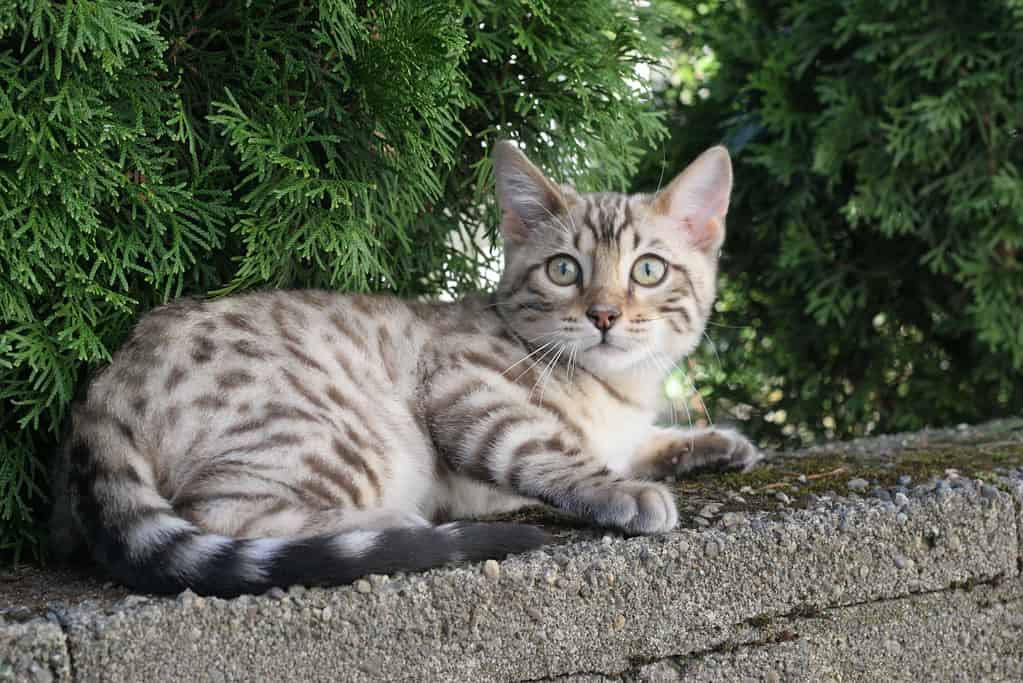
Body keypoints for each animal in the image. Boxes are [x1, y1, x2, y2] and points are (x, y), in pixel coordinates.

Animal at [51, 141, 765, 593]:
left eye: (648, 270)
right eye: (565, 269)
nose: (605, 315)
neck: (617, 390)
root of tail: (106, 385)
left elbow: (637, 443)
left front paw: (710, 443)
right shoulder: (463, 388)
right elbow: (548, 450)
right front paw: (623, 491)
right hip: (344, 437)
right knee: (220, 512)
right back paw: (392, 525)